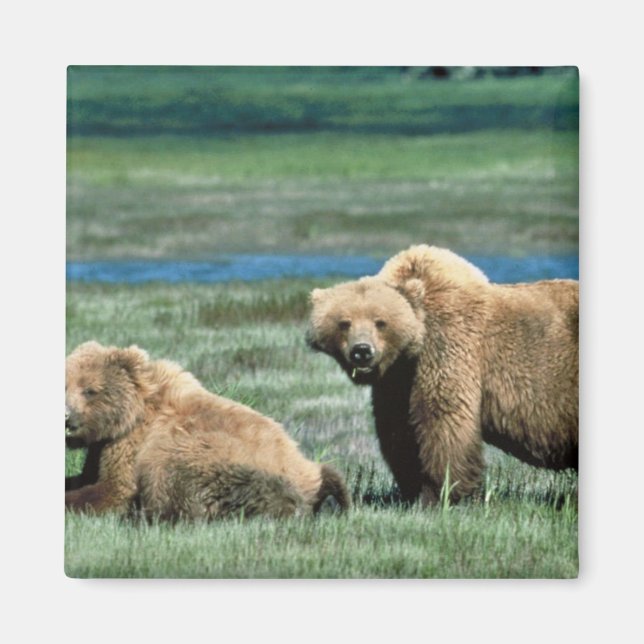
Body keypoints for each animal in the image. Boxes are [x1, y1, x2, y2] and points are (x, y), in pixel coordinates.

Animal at [65, 341, 349, 520]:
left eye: (90, 390)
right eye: (65, 385)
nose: (66, 417)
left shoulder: (131, 443)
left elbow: (114, 489)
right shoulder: (101, 447)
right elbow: (88, 476)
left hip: (220, 458)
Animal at [306, 244, 578, 505]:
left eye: (380, 322)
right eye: (344, 323)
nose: (362, 351)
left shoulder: (448, 348)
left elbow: (443, 421)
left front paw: (440, 494)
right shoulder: (397, 380)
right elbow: (399, 431)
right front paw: (412, 489)